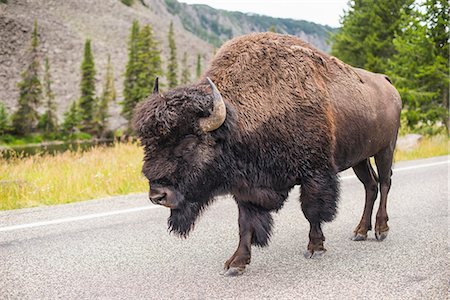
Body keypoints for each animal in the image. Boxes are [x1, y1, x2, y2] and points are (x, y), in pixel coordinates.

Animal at [133, 32, 400, 276]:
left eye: (189, 142)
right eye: (147, 144)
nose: (158, 195)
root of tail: (387, 82)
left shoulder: (314, 174)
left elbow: (311, 210)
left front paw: (315, 248)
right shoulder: (246, 187)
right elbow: (245, 223)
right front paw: (236, 263)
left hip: (385, 149)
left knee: (384, 183)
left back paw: (381, 230)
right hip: (360, 158)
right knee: (370, 185)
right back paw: (360, 232)